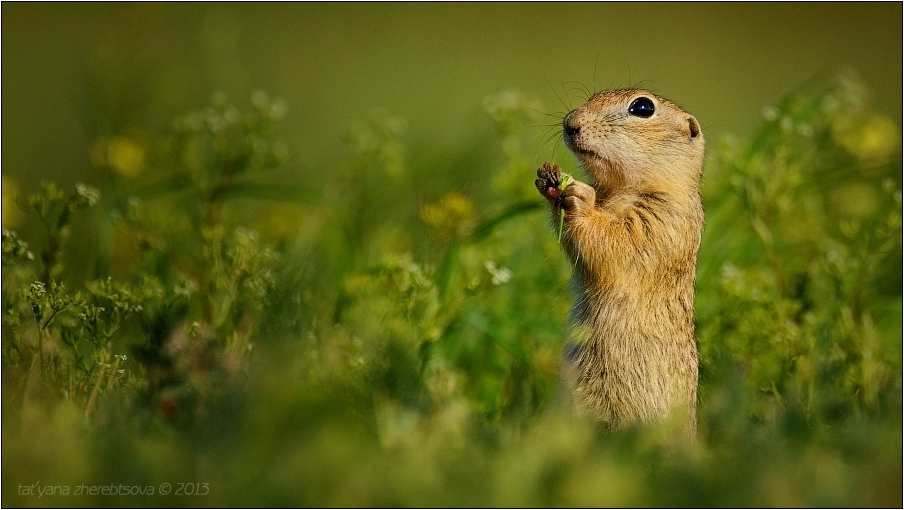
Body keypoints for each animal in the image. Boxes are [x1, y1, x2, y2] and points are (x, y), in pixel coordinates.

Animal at [536, 87, 708, 434]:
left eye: (643, 107)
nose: (570, 123)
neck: (622, 189)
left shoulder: (660, 221)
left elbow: (615, 247)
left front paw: (579, 197)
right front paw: (548, 180)